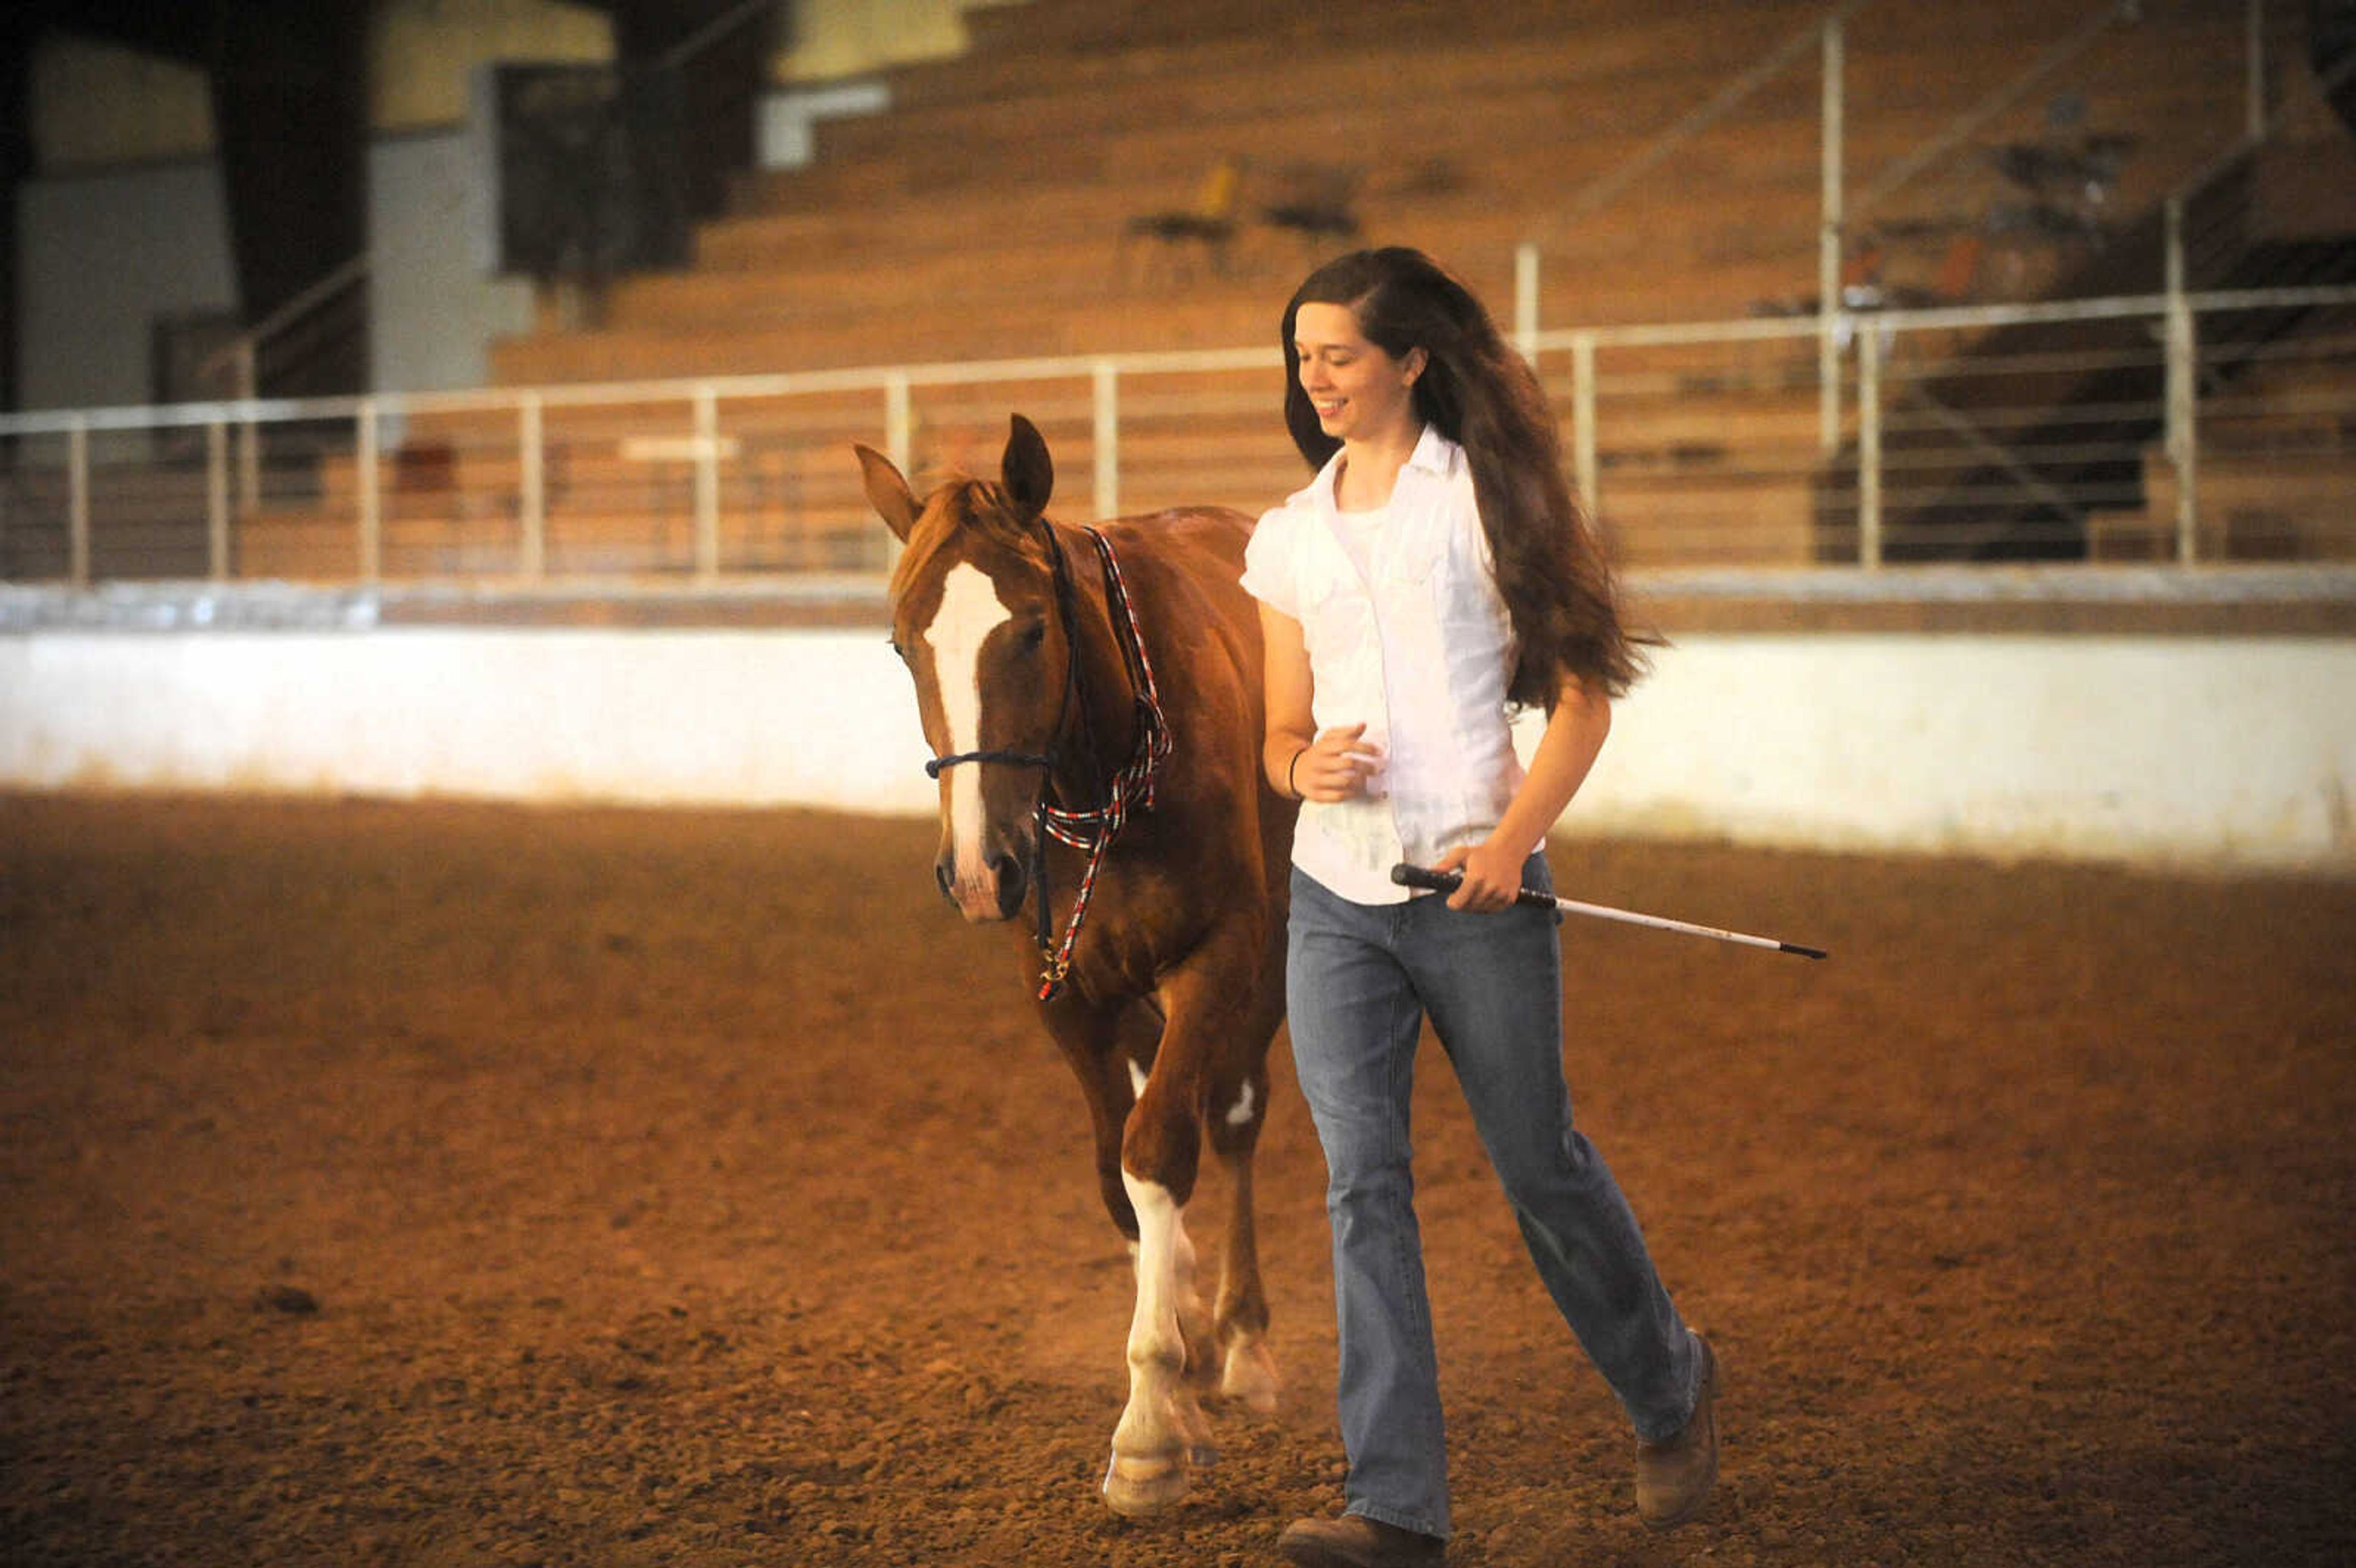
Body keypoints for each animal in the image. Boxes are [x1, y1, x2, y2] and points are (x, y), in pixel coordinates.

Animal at [857, 414, 1300, 1516]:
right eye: (904, 644)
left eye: (1030, 632)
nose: (979, 870)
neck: (1104, 774)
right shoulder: (1065, 997)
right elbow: (1116, 1175)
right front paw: (1170, 1379)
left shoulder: (1219, 957)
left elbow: (1161, 1149)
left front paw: (1147, 1430)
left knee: (1233, 1116)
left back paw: (1241, 1340)